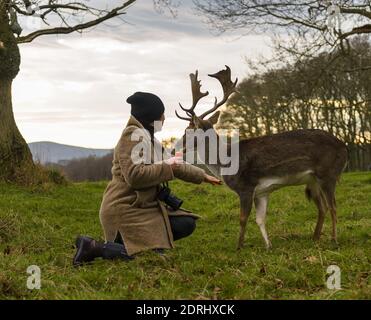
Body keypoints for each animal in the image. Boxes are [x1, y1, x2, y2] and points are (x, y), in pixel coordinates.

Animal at [176, 65, 350, 250]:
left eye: (189, 130)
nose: (176, 147)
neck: (225, 163)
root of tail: (345, 148)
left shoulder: (246, 186)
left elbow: (243, 218)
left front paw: (239, 247)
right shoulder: (262, 192)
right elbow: (260, 219)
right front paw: (268, 245)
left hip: (328, 173)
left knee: (333, 206)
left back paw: (334, 240)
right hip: (313, 180)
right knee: (323, 207)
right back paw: (315, 238)